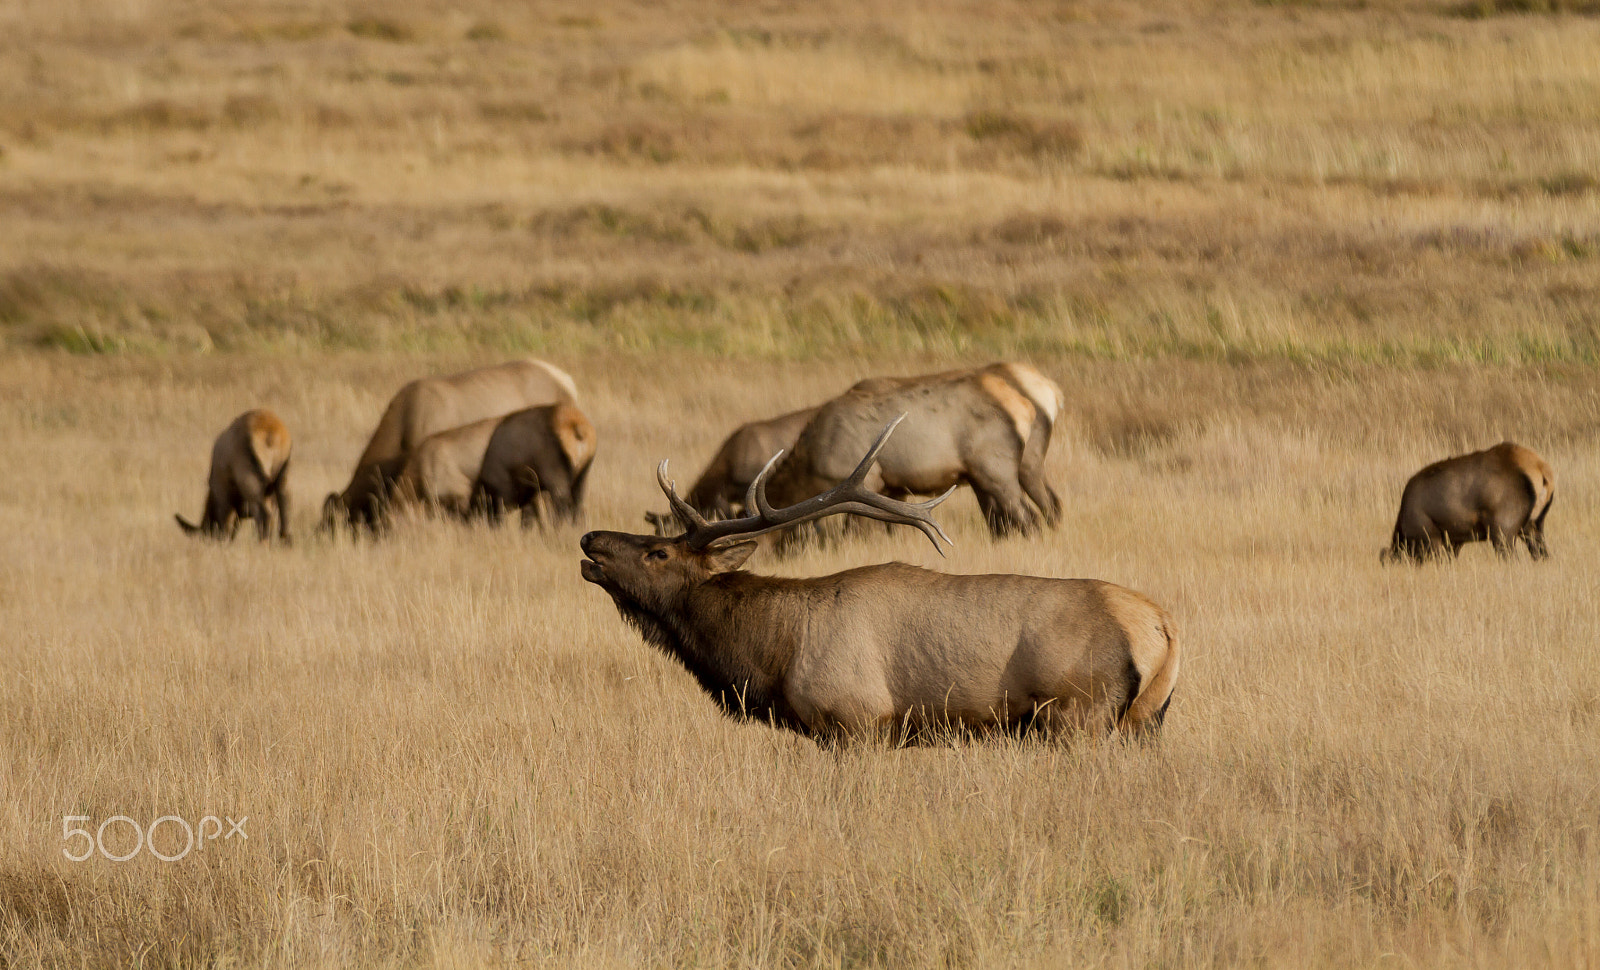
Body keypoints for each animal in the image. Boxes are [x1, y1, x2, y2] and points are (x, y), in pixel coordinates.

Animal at [176, 409, 296, 547]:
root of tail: (269, 431)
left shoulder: (223, 494)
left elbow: (226, 523)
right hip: (282, 478)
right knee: (285, 507)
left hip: (251, 483)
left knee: (264, 515)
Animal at [579, 416, 1177, 745]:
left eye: (657, 552)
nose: (589, 541)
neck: (773, 654)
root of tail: (1161, 629)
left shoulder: (858, 723)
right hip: (1144, 722)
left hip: (1080, 713)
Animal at [761, 364, 1062, 547]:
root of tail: (1024, 406)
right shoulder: (893, 487)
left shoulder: (868, 481)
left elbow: (856, 532)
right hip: (1019, 467)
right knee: (1048, 505)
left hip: (995, 471)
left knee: (1027, 517)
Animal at [1382, 441, 1555, 563]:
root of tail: (1542, 470)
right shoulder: (1454, 541)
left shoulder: (1432, 536)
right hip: (1533, 526)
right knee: (1543, 555)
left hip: (1503, 530)